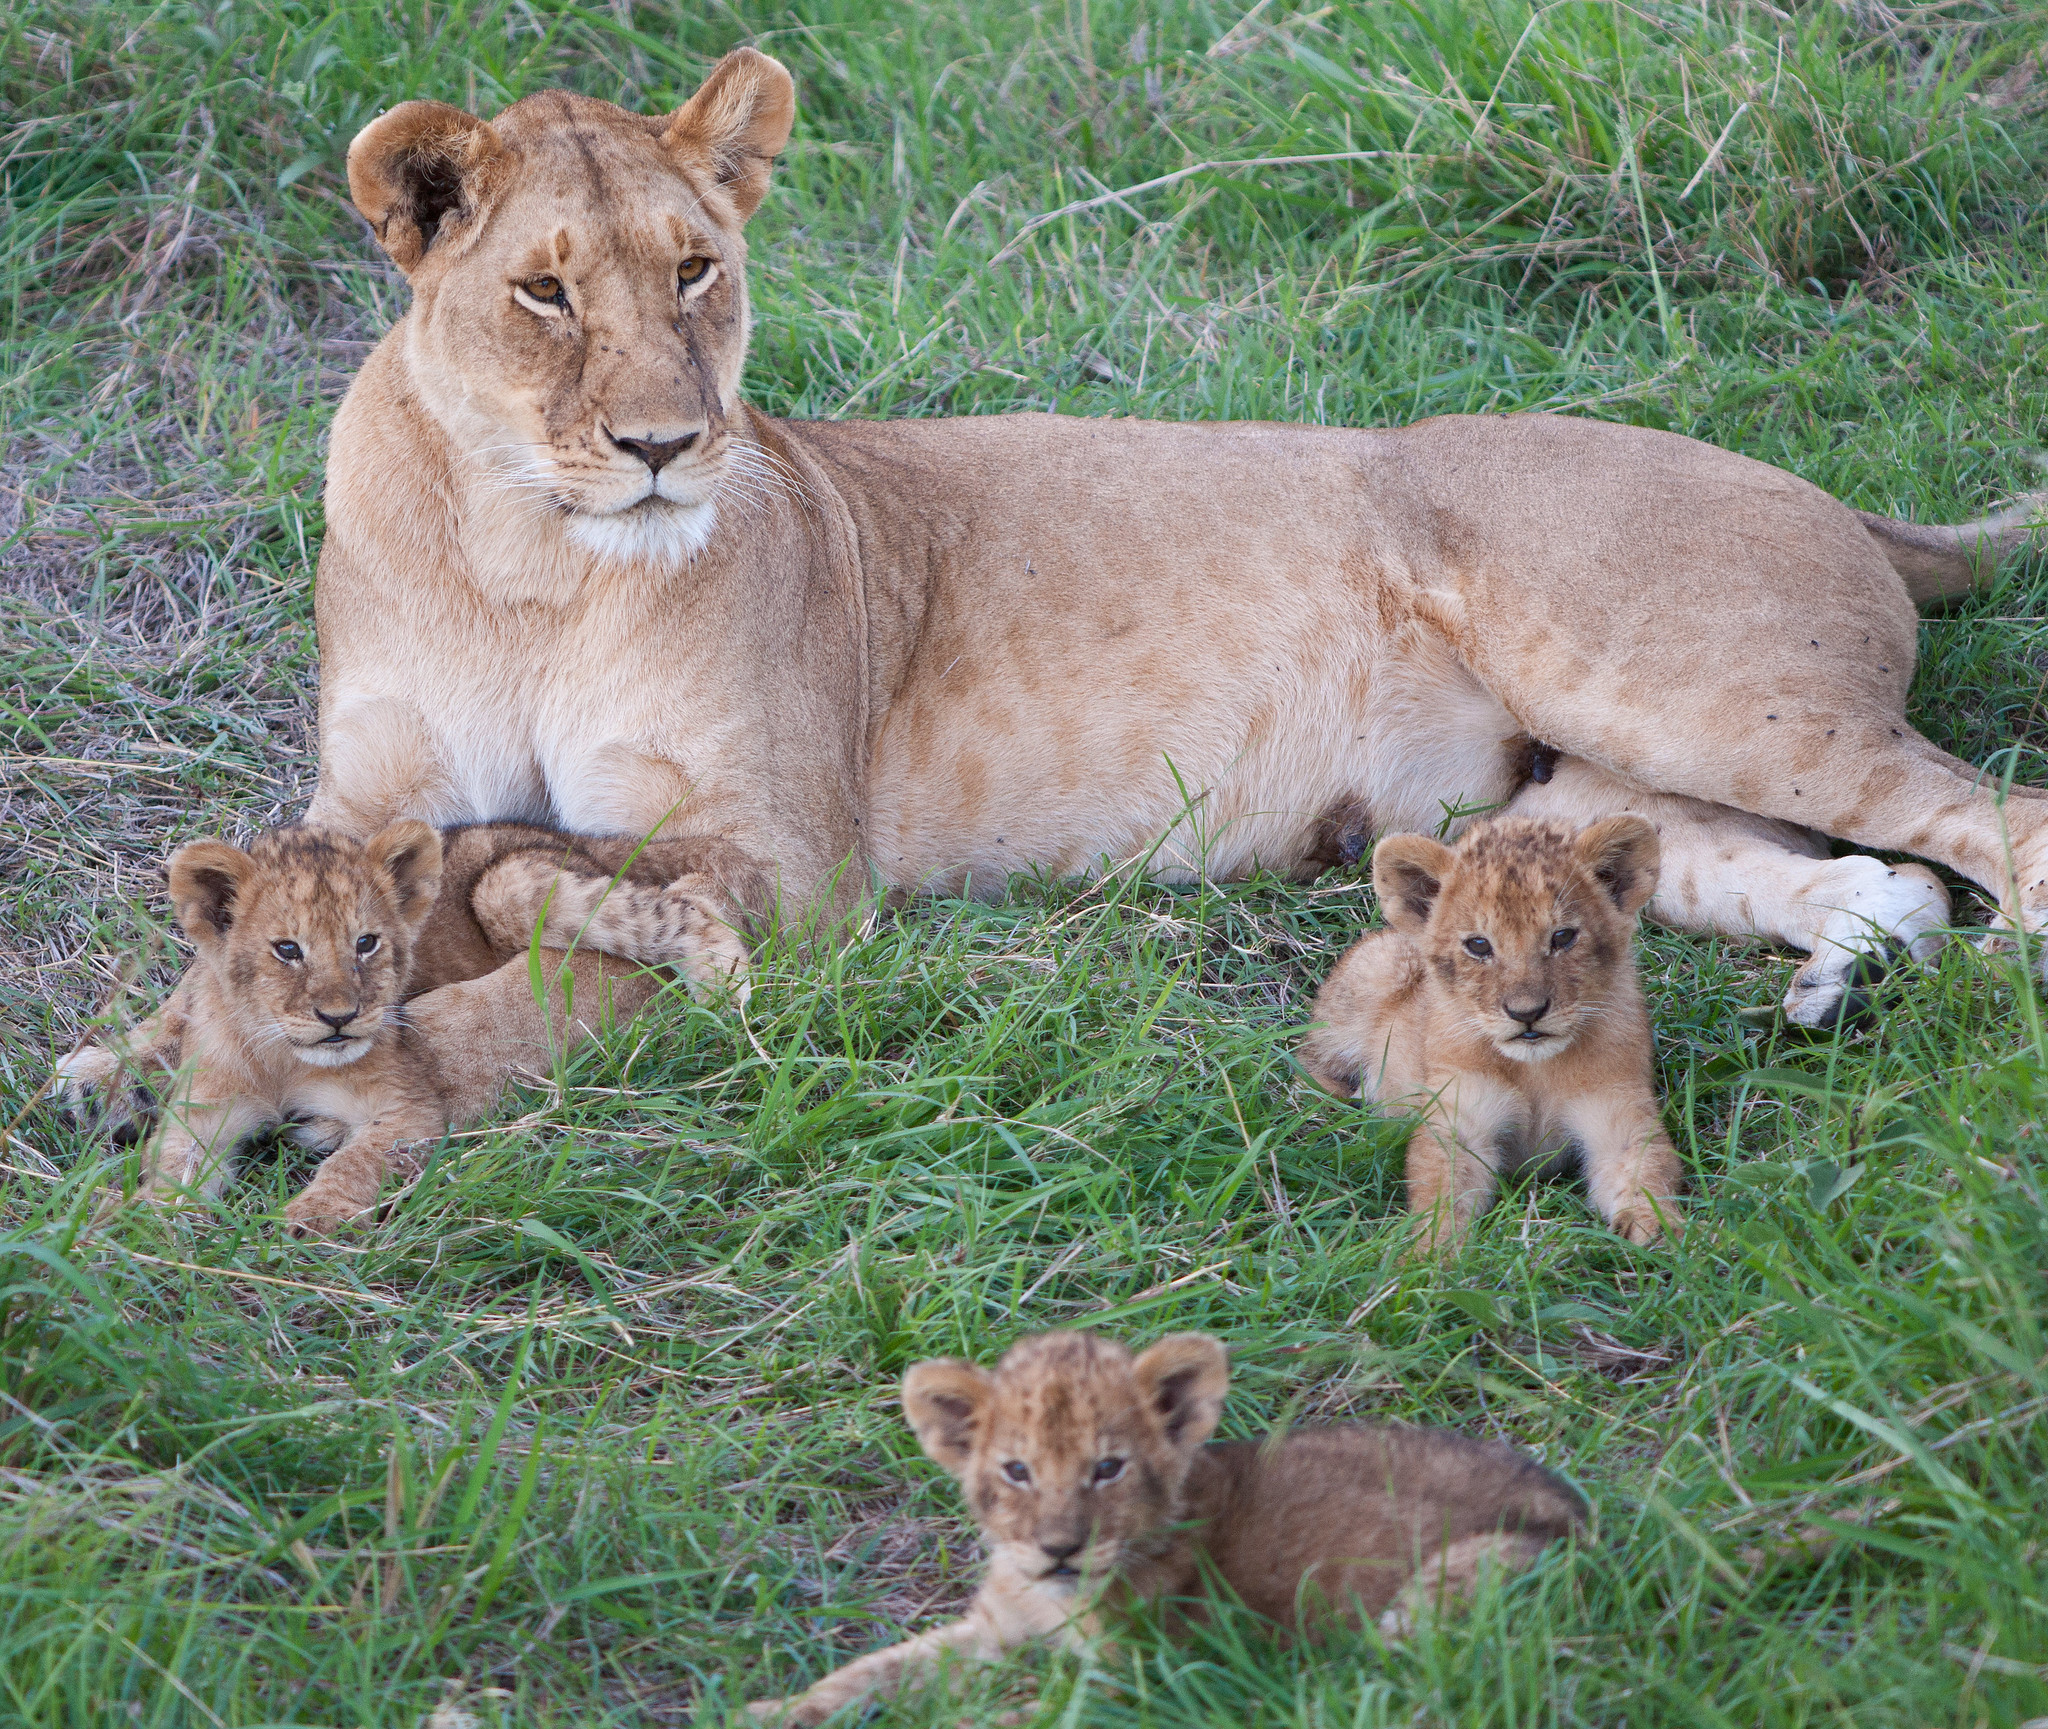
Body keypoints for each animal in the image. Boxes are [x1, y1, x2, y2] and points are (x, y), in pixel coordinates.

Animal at [60, 821, 751, 1234]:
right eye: (287, 950)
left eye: (367, 943)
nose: (339, 1017)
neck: (284, 1057)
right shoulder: (205, 1110)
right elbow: (175, 1158)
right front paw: (141, 1216)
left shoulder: (411, 1106)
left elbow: (360, 1162)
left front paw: (311, 1217)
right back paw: (97, 1084)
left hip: (507, 885)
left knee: (686, 909)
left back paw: (731, 999)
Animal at [62, 47, 2048, 1105]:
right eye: (545, 291)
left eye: (696, 267)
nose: (662, 446)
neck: (522, 559)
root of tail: (1844, 496)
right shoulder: (356, 803)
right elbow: (250, 935)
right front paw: (123, 1068)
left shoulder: (796, 860)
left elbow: (528, 892)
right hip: (1573, 799)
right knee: (1861, 877)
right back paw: (1833, 982)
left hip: (1684, 684)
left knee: (1991, 824)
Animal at [743, 1330, 1585, 1724]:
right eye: (1016, 1470)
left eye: (1107, 1467)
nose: (1059, 1548)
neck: (1052, 1598)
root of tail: (1582, 1508)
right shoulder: (992, 1628)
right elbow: (870, 1669)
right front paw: (768, 1709)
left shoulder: (1152, 1680)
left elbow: (1039, 1712)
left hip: (1458, 1580)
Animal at [1300, 815, 1682, 1251]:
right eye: (1479, 945)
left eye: (1563, 936)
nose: (1526, 1013)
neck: (1535, 1070)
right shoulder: (1461, 1113)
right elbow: (1442, 1185)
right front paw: (1430, 1253)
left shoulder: (1617, 1107)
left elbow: (1644, 1169)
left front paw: (1662, 1236)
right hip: (1378, 968)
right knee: (1308, 1062)